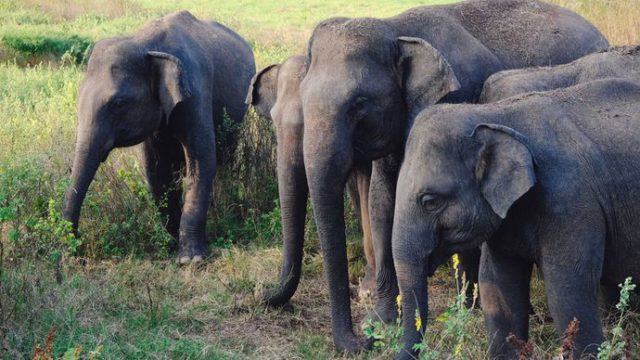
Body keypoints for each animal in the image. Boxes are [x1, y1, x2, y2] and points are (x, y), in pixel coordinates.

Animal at [298, 0, 608, 352]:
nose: (363, 342)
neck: (395, 28)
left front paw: (467, 307)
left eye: (359, 104)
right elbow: (382, 202)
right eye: (301, 97)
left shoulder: (459, 98)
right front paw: (382, 320)